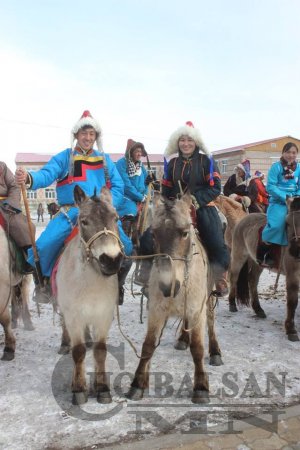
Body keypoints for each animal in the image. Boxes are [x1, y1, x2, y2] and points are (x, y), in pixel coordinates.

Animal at [56, 185, 124, 406]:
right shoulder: (74, 317)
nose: (111, 259)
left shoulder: (103, 316)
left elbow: (100, 350)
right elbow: (78, 352)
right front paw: (78, 389)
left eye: (116, 218)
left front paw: (102, 388)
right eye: (84, 221)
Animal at [227, 197, 300, 342]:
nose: (294, 252)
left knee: (252, 280)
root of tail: (244, 218)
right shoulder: (293, 276)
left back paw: (258, 309)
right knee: (234, 278)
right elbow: (292, 302)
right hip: (239, 256)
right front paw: (291, 329)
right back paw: (232, 304)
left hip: (257, 263)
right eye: (287, 222)